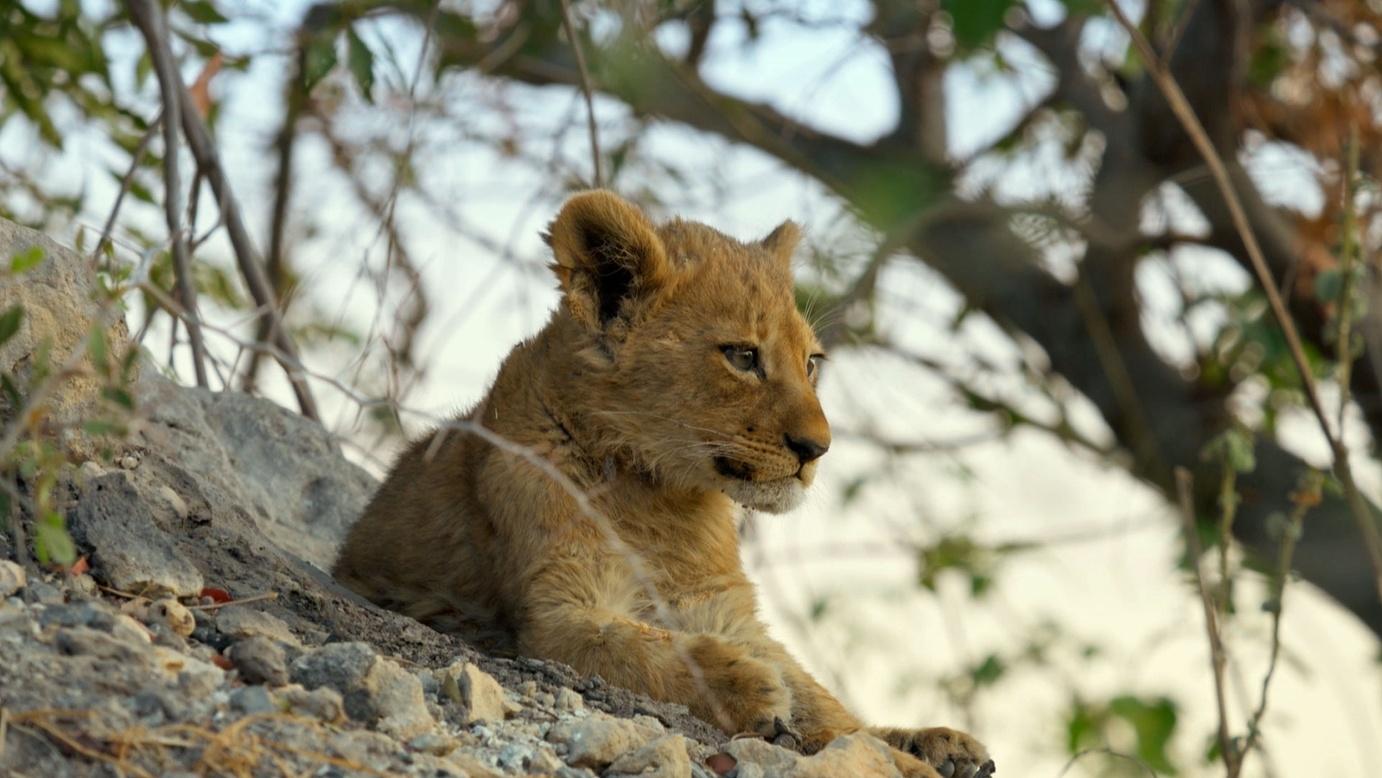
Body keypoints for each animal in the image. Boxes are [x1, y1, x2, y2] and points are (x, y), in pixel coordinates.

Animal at [333, 190, 995, 778]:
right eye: (743, 357)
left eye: (811, 363)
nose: (817, 449)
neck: (661, 496)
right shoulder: (556, 614)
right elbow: (644, 648)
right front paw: (749, 687)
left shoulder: (725, 610)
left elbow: (830, 709)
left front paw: (906, 752)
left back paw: (942, 743)